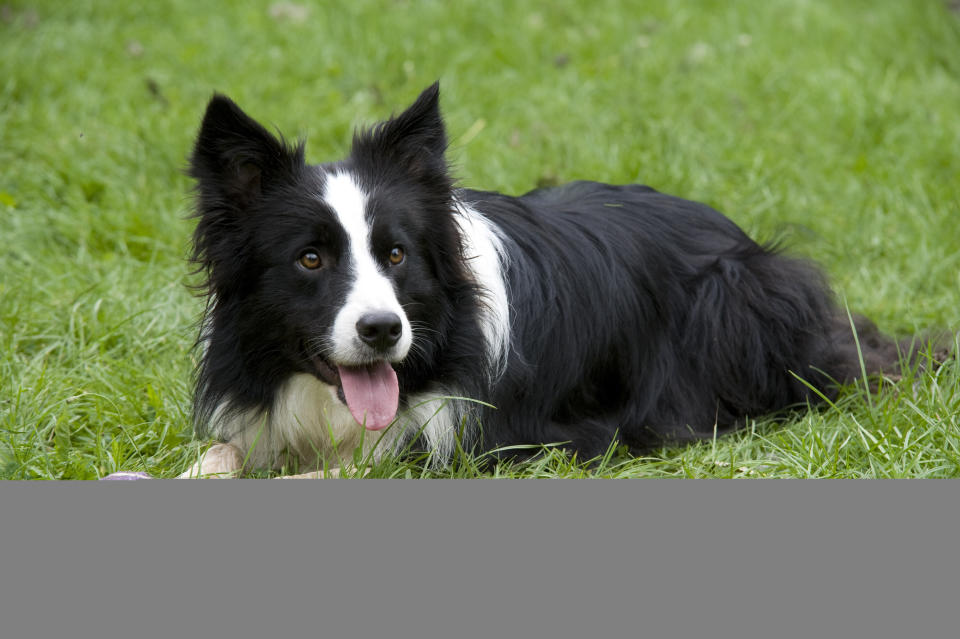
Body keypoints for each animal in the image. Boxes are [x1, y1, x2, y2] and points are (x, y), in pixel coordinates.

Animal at [182, 80, 924, 478]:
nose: (383, 330)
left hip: (734, 307)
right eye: (310, 259)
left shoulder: (474, 440)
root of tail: (736, 233)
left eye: (396, 254)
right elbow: (221, 450)